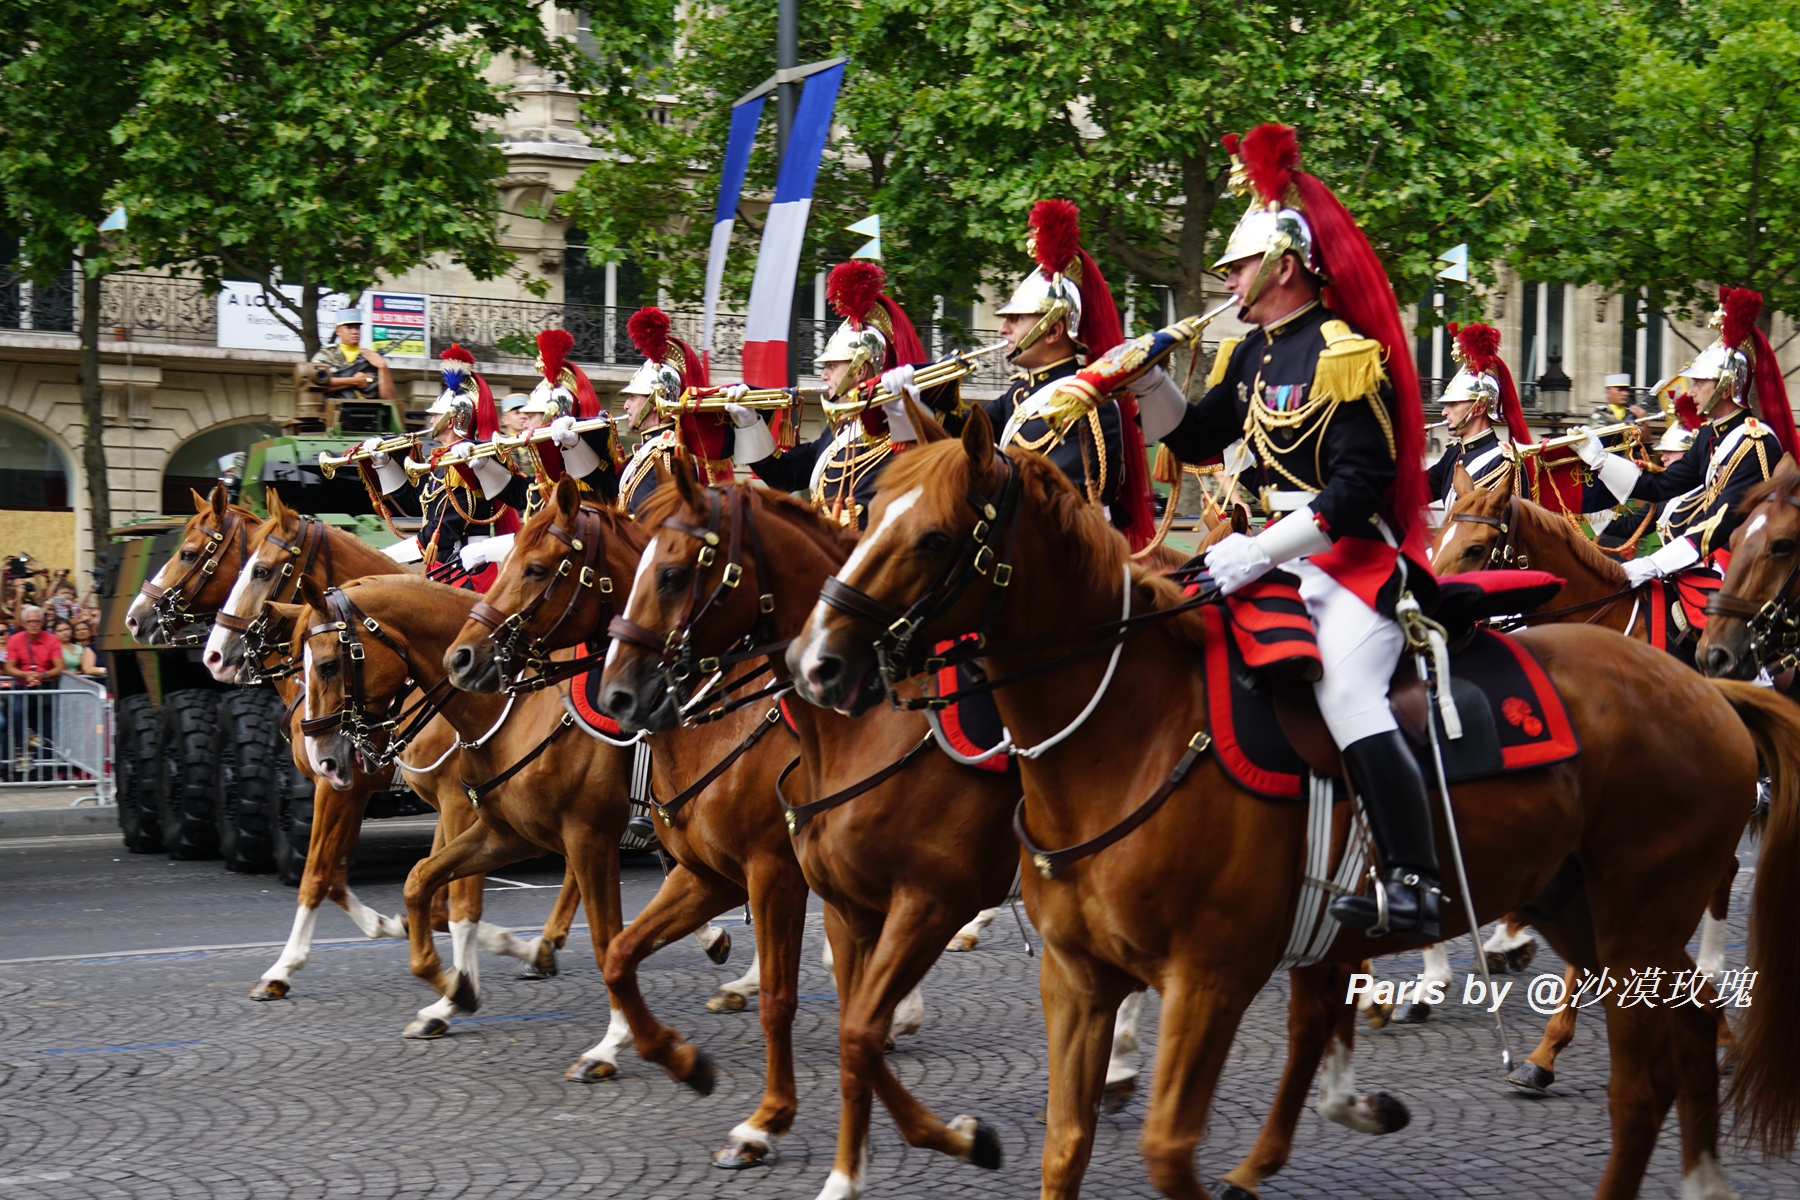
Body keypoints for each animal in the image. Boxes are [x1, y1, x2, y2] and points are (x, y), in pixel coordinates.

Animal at [802, 413, 1800, 1200]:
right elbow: (1056, 1141)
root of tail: (1704, 690)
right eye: (871, 515)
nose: (820, 665)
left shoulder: (1209, 976)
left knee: (1643, 1080)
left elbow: (1170, 1149)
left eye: (935, 538)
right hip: (1579, 905)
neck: (1126, 732)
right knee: (1687, 1023)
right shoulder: (1075, 975)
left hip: (1634, 918)